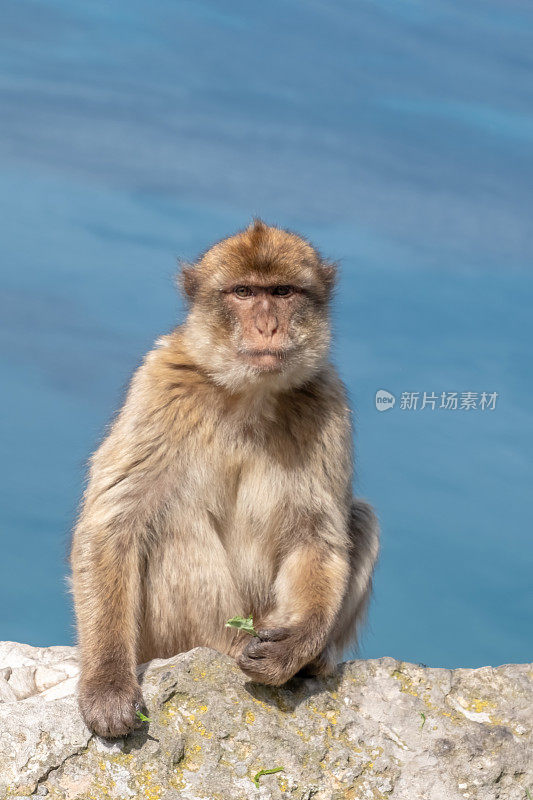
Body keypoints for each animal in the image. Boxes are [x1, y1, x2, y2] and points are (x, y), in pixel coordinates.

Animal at [70, 219, 378, 736]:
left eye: (282, 292)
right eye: (243, 292)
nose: (267, 325)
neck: (249, 393)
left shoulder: (326, 399)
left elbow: (316, 537)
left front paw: (293, 648)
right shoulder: (160, 385)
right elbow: (114, 522)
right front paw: (106, 683)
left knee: (361, 518)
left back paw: (312, 661)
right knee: (170, 524)